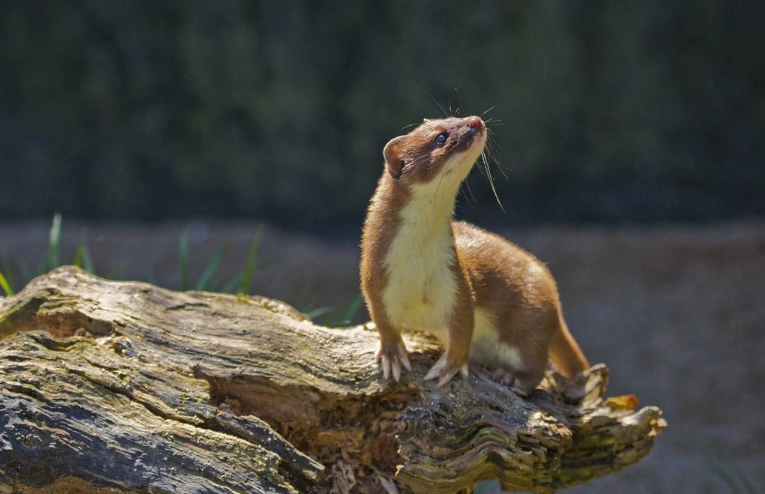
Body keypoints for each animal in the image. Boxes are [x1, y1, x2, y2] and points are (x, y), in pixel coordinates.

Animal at [360, 115, 592, 394]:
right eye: (441, 136)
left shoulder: (455, 283)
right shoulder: (375, 280)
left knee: (536, 365)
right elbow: (383, 322)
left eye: (455, 115)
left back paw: (510, 377)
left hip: (528, 320)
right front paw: (393, 355)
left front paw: (449, 367)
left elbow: (463, 329)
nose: (475, 120)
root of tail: (553, 296)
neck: (416, 266)